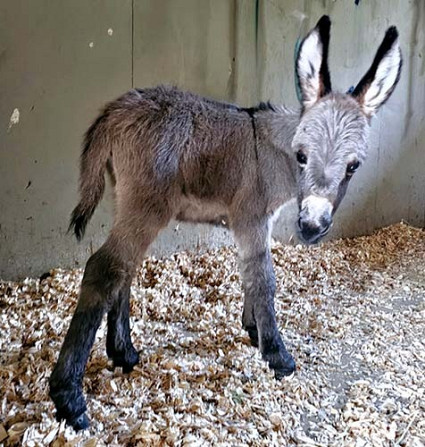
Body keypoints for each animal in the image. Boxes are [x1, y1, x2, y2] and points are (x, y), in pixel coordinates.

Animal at [48, 16, 400, 430]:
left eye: (353, 166)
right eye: (301, 156)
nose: (312, 227)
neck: (273, 152)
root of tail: (115, 109)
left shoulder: (253, 221)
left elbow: (249, 272)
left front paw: (253, 329)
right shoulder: (251, 216)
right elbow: (264, 278)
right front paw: (277, 355)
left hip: (128, 201)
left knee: (124, 269)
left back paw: (124, 354)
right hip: (147, 206)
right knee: (105, 268)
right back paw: (69, 398)